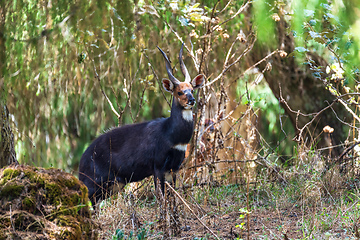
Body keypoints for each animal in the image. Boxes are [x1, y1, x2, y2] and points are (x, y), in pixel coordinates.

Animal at [78, 44, 205, 204]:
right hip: (95, 182)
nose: (191, 100)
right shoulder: (158, 166)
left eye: (192, 90)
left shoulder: (174, 168)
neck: (170, 135)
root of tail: (81, 162)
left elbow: (172, 195)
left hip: (113, 185)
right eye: (179, 92)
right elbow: (161, 196)